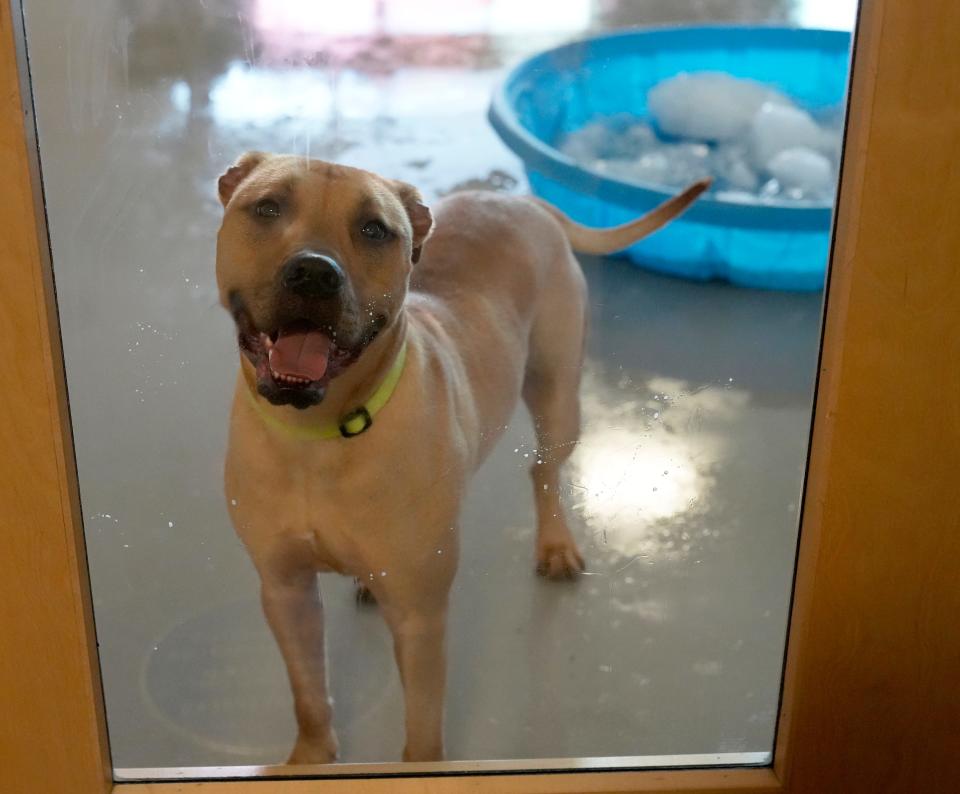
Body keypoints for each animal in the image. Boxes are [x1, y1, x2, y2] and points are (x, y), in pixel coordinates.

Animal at [218, 152, 708, 764]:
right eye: (267, 207)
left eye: (374, 229)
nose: (314, 272)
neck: (318, 437)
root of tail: (523, 201)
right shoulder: (286, 592)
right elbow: (309, 694)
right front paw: (311, 759)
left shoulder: (421, 617)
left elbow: (423, 725)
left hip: (557, 398)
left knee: (543, 471)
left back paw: (556, 545)